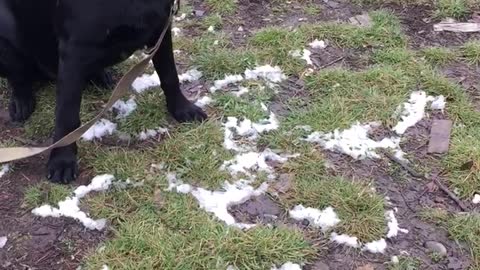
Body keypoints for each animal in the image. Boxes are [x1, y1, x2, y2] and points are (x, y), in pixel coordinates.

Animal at [0, 0, 206, 184]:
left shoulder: (161, 28)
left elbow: (170, 75)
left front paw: (182, 108)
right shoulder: (73, 51)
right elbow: (67, 114)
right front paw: (62, 160)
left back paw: (100, 76)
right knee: (19, 79)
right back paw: (22, 102)